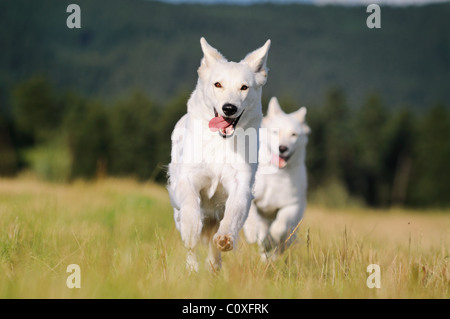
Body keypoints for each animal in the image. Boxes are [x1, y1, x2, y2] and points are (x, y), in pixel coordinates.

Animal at [166, 37, 268, 272]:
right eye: (218, 85)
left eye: (244, 87)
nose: (229, 108)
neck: (220, 143)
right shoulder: (188, 178)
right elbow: (190, 205)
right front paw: (192, 228)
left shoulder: (241, 184)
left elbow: (232, 214)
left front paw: (225, 238)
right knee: (191, 244)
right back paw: (192, 268)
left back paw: (213, 265)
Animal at [243, 97, 310, 262]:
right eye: (275, 132)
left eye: (294, 135)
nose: (283, 148)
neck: (277, 174)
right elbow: (253, 219)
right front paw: (253, 232)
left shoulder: (292, 205)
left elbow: (279, 227)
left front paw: (274, 238)